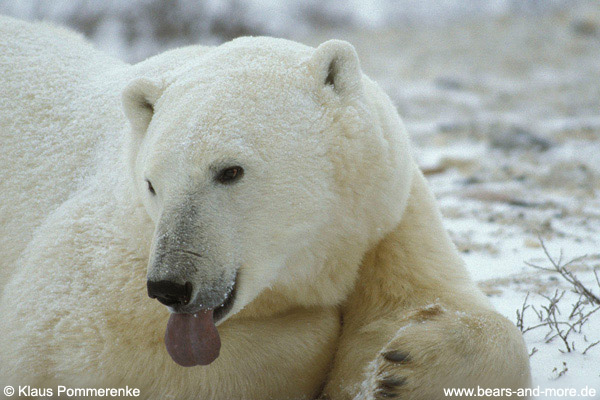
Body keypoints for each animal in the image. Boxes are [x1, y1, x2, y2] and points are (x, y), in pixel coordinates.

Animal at [0, 15, 528, 400]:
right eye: (152, 184)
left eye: (229, 171)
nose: (170, 286)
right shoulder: (111, 249)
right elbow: (61, 343)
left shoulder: (382, 220)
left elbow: (430, 297)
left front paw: (404, 366)